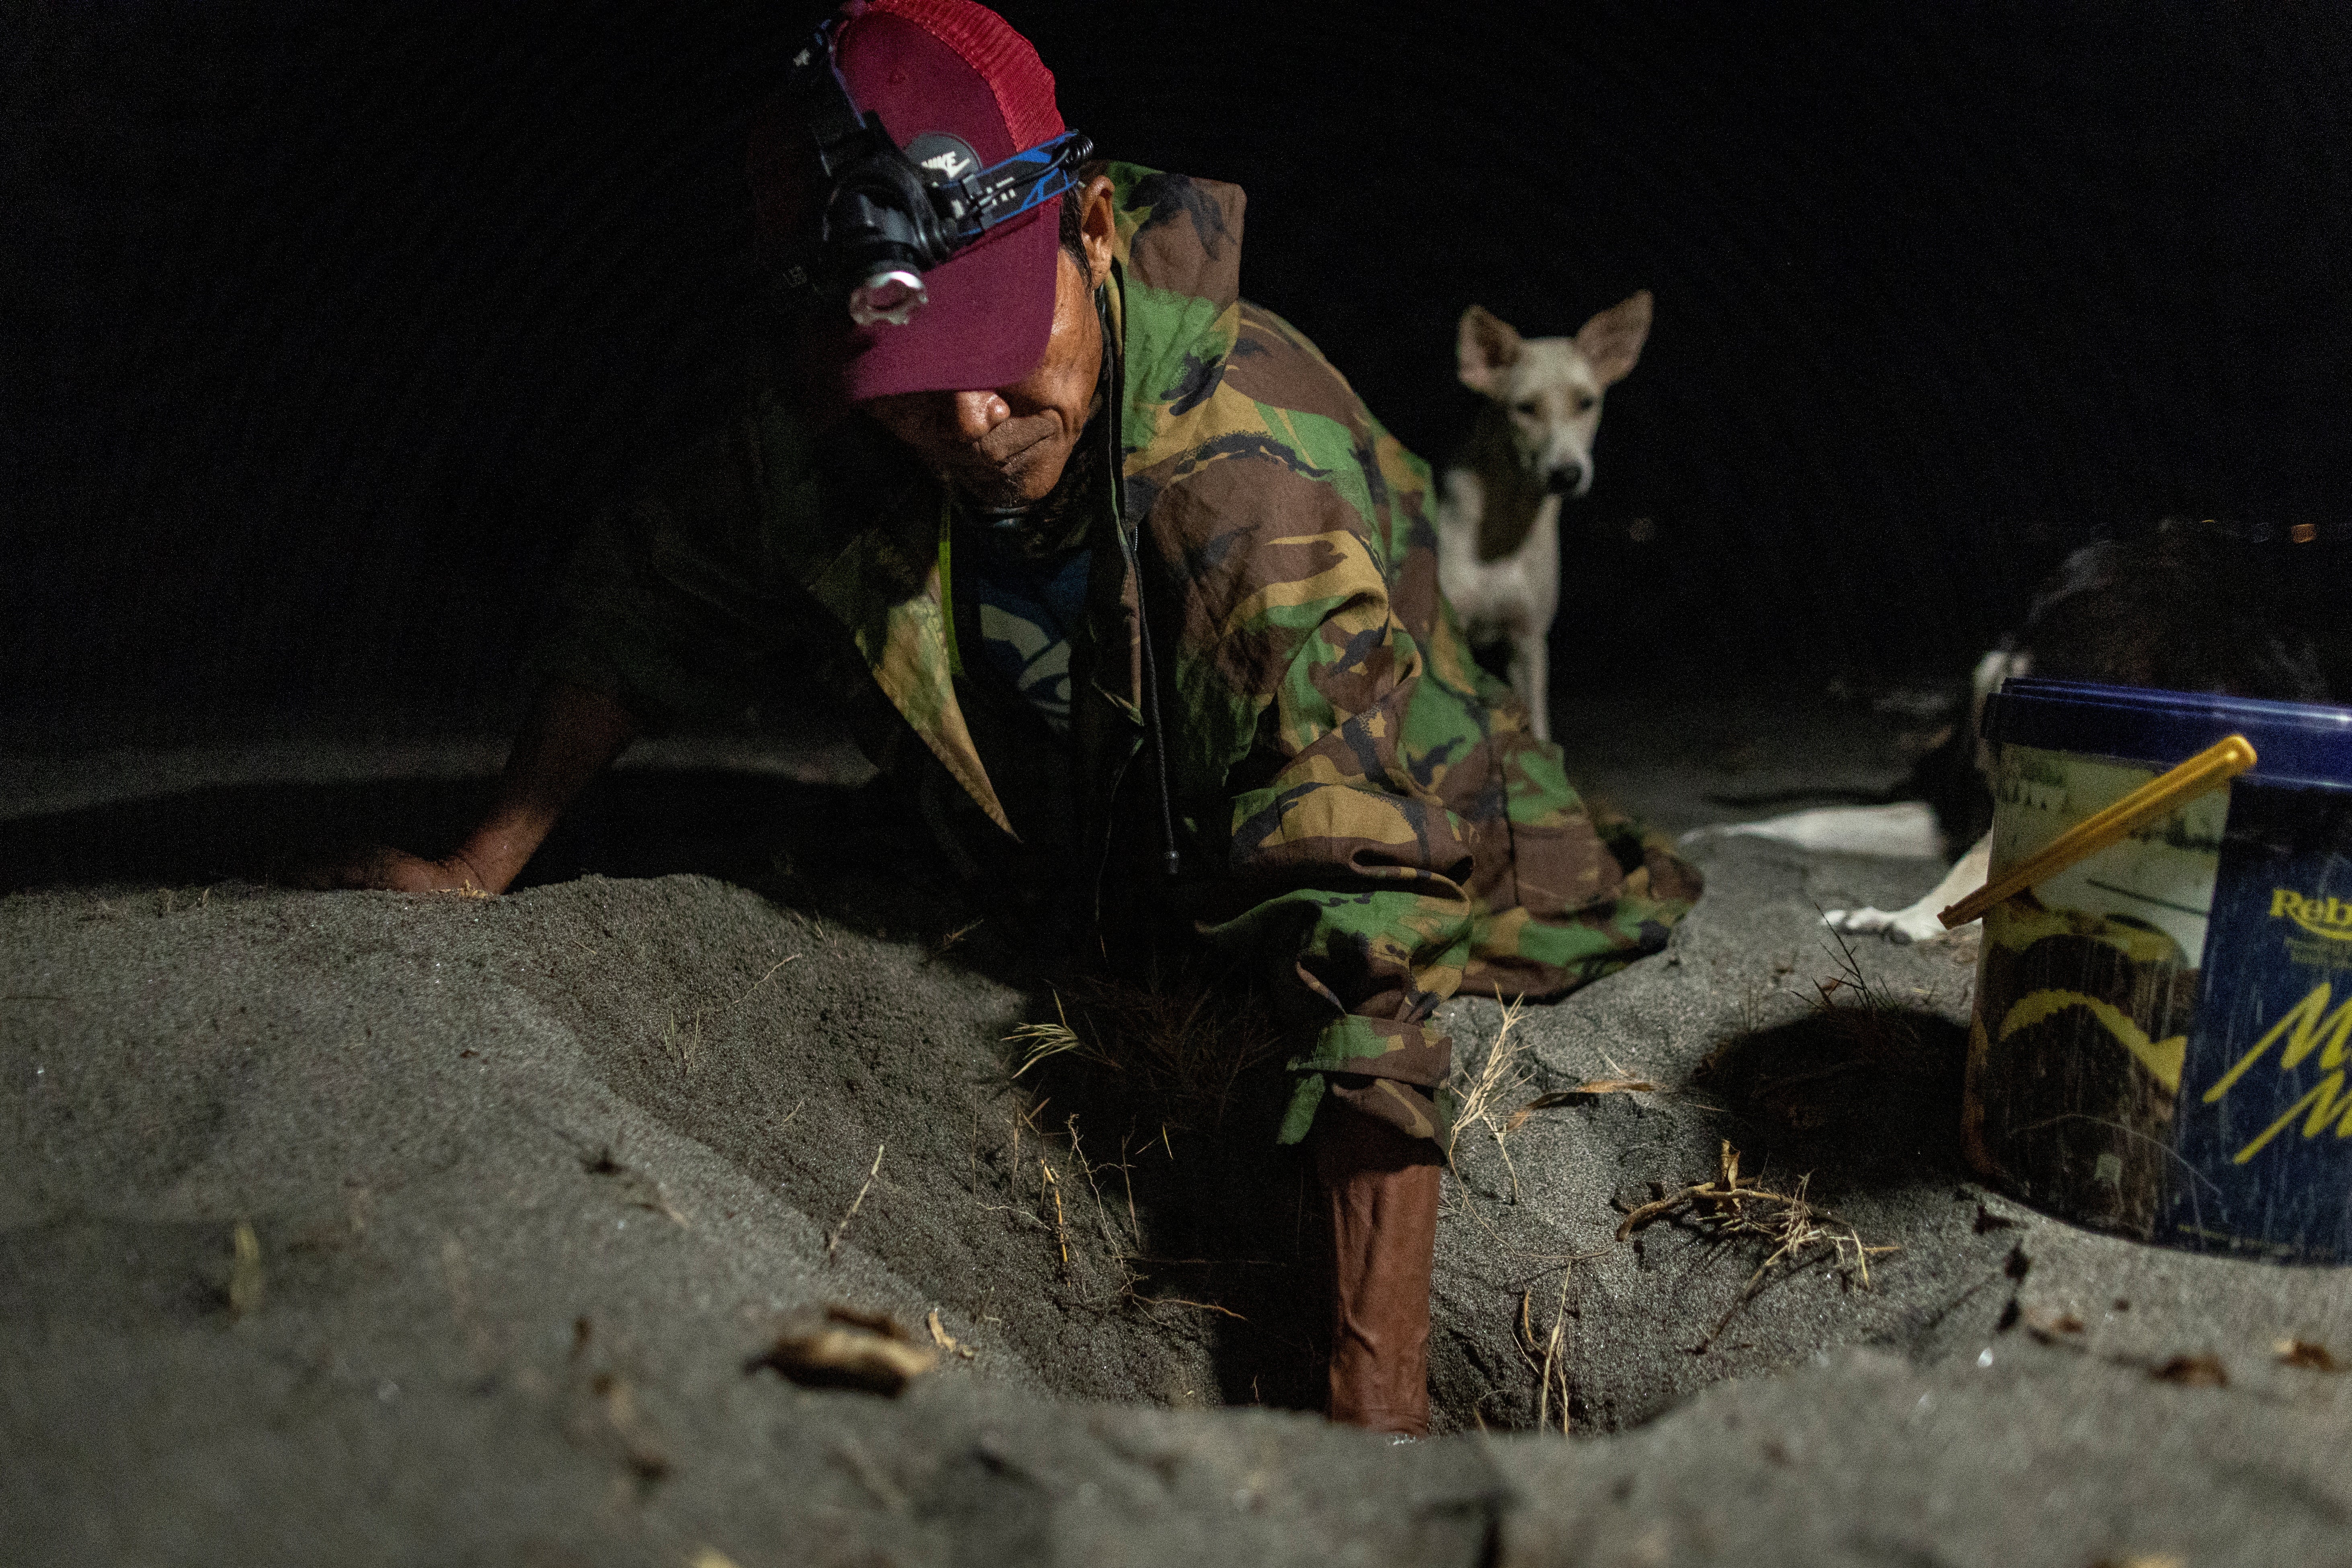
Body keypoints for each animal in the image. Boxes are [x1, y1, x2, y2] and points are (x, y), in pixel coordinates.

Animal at [1430, 292, 1656, 743]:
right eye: (1524, 409)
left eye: (1587, 403)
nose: (1567, 475)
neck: (1507, 527)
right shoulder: (1452, 638)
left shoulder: (1529, 642)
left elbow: (1537, 729)